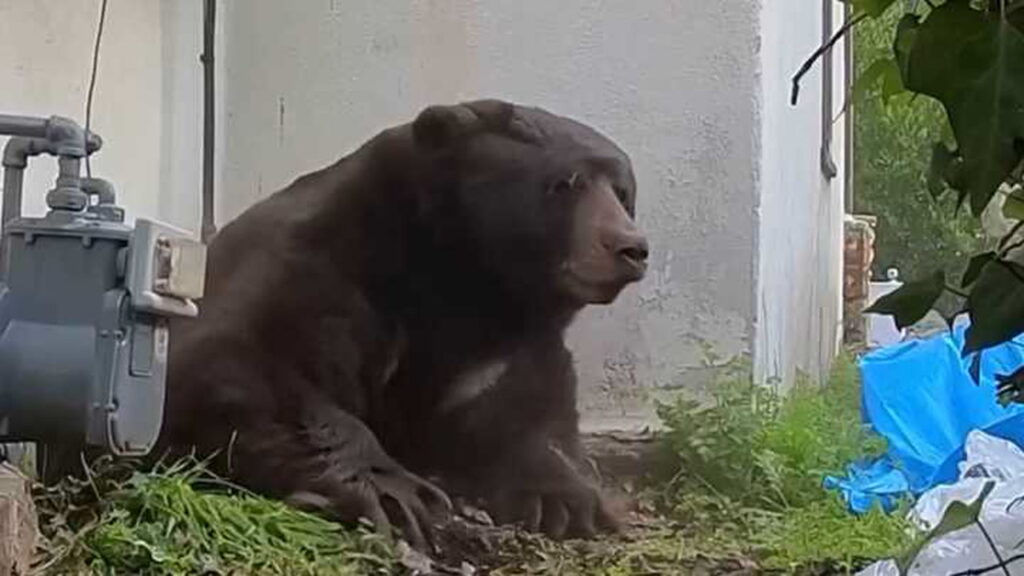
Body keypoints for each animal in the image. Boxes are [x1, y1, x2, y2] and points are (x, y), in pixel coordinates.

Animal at [159, 99, 649, 550]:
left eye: (623, 192)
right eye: (565, 183)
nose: (631, 248)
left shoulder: (501, 340)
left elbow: (523, 408)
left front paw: (571, 500)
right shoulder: (325, 267)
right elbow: (232, 357)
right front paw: (399, 494)